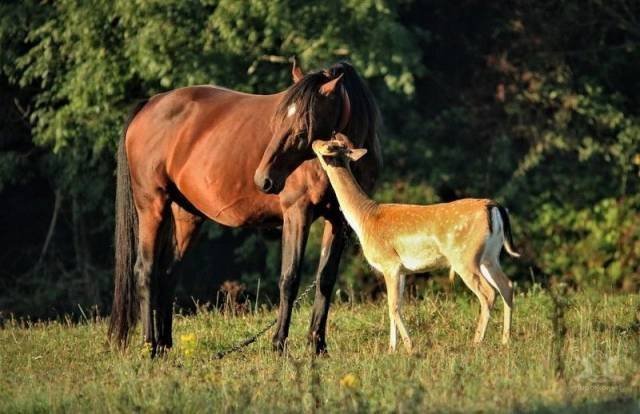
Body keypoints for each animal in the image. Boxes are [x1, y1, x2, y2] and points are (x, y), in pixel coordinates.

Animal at [109, 60, 380, 356]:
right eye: (277, 121)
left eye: (302, 127)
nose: (263, 180)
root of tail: (150, 104)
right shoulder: (297, 213)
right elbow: (290, 278)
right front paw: (278, 345)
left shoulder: (339, 220)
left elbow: (325, 280)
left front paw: (317, 346)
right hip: (152, 206)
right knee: (145, 271)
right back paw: (149, 346)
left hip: (186, 216)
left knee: (168, 273)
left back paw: (165, 346)